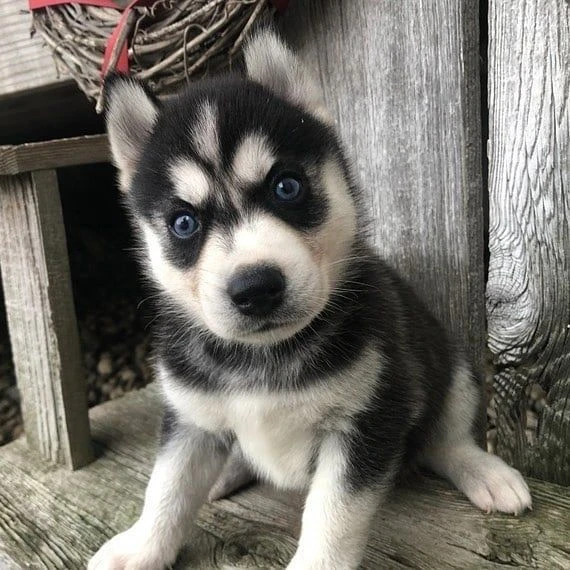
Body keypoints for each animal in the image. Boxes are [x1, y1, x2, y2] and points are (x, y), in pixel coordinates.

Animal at [91, 30, 532, 568]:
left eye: (287, 186)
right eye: (183, 223)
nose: (255, 288)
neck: (263, 356)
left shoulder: (369, 416)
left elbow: (333, 514)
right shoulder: (190, 417)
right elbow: (167, 487)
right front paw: (141, 546)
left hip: (448, 367)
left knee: (444, 440)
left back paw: (484, 471)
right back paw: (226, 472)